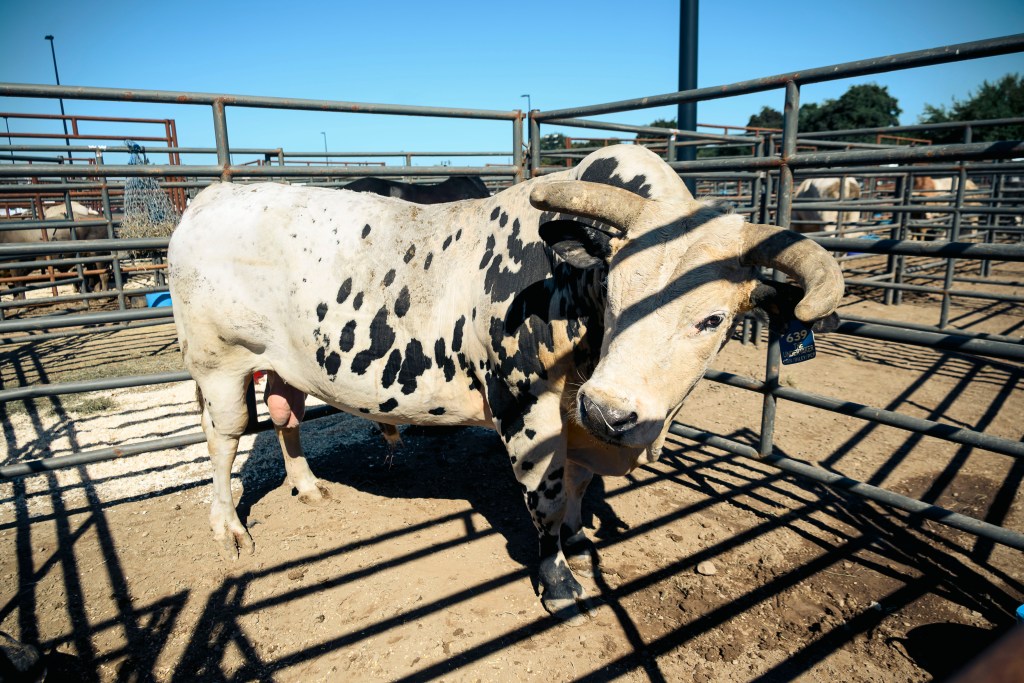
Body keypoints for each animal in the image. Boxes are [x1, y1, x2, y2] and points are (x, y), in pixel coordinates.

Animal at [168, 145, 844, 618]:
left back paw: (307, 486)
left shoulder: (578, 419)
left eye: (712, 320)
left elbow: (577, 484)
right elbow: (545, 493)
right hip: (218, 363)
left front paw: (579, 530)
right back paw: (227, 525)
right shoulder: (528, 408)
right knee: (225, 437)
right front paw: (559, 580)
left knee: (285, 414)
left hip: (287, 362)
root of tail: (210, 198)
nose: (611, 411)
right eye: (615, 294)